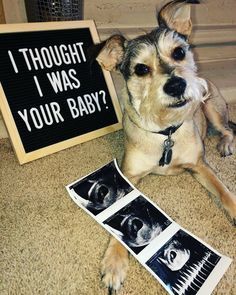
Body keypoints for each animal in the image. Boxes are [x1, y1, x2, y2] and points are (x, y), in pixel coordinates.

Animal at [91, 0, 236, 294]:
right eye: (141, 69)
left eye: (178, 52)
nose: (177, 84)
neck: (165, 132)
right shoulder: (128, 174)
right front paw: (114, 262)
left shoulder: (200, 165)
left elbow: (224, 192)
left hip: (210, 106)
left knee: (227, 128)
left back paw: (225, 143)